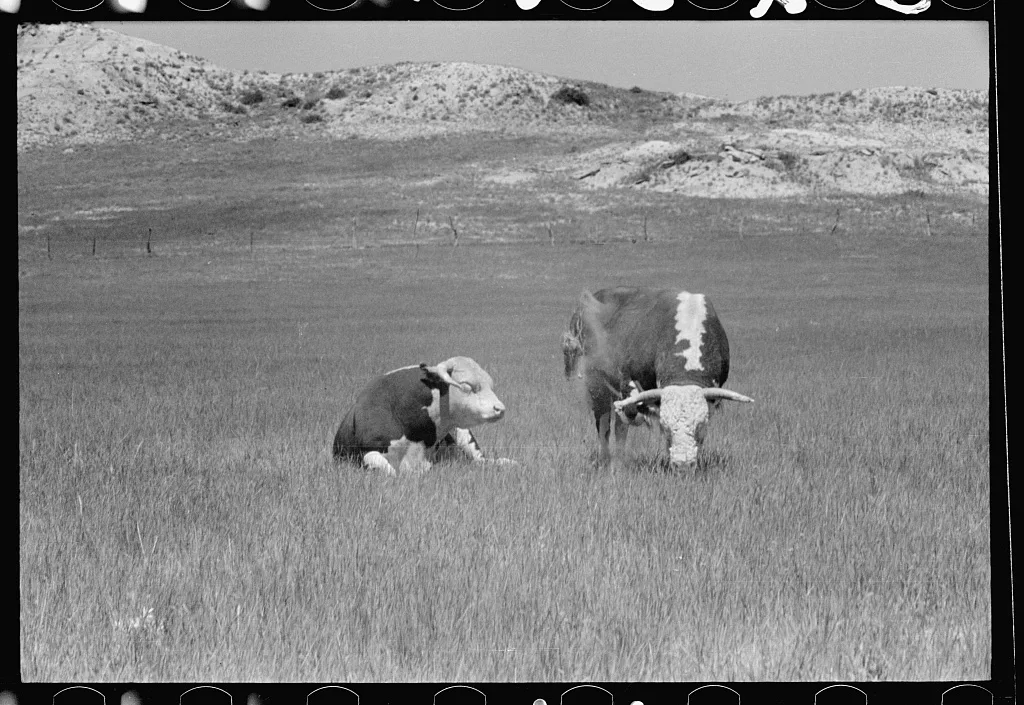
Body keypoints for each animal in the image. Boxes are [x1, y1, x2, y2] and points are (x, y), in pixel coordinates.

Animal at [332, 356, 511, 475]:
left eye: (490, 385)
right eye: (466, 386)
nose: (500, 408)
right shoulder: (367, 453)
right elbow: (391, 472)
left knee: (483, 460)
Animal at [562, 286, 754, 471]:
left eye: (700, 426)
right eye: (665, 428)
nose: (683, 466)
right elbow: (630, 411)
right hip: (596, 386)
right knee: (605, 425)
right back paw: (607, 461)